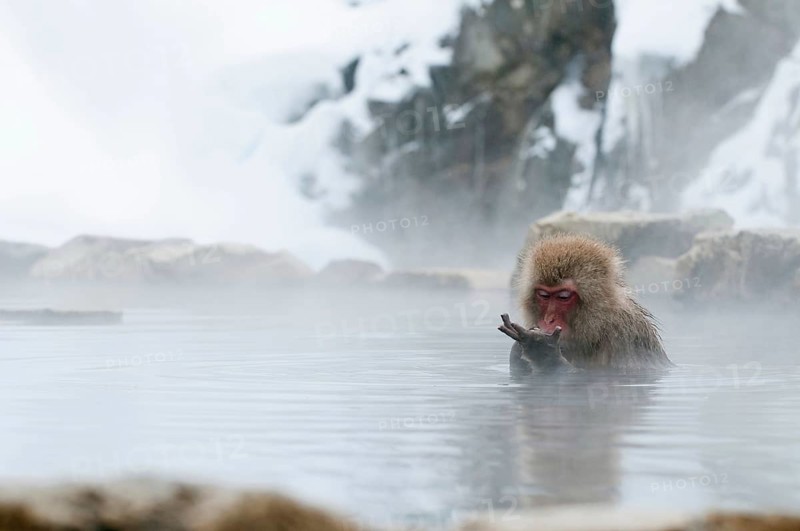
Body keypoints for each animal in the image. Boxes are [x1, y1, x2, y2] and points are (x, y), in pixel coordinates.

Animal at [498, 234, 673, 373]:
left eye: (563, 296)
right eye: (544, 295)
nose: (548, 320)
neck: (597, 330)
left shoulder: (626, 337)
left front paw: (541, 351)